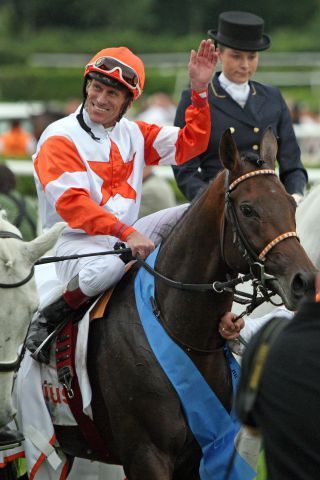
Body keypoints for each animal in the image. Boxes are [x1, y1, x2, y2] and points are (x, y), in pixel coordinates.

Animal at [54, 128, 316, 480]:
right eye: (248, 209)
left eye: (290, 203)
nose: (304, 281)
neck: (179, 331)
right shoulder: (146, 455)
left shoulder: (201, 451)